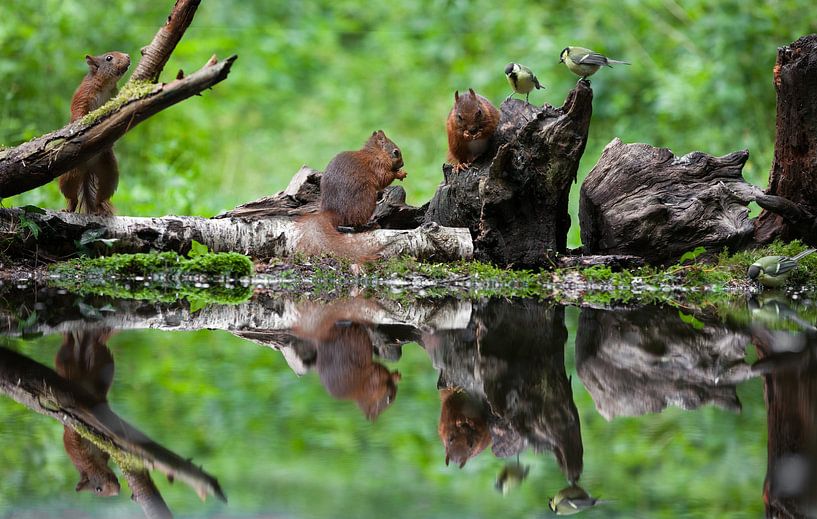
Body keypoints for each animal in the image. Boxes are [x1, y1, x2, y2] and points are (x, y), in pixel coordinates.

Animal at [59, 51, 131, 216]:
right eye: (109, 58)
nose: (128, 56)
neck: (105, 85)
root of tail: (88, 169)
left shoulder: (114, 95)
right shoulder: (83, 94)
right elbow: (78, 111)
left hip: (109, 172)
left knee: (102, 195)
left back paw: (100, 209)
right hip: (70, 174)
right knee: (72, 196)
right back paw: (69, 208)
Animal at [296, 130, 407, 260]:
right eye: (396, 152)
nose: (403, 164)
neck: (375, 153)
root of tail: (334, 211)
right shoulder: (377, 165)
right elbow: (384, 178)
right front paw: (399, 174)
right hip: (367, 200)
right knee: (356, 223)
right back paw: (371, 225)